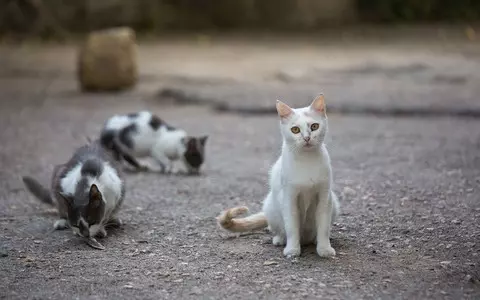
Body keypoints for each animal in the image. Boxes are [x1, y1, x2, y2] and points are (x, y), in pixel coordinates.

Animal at [216, 94, 340, 258]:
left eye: (314, 126)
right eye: (295, 130)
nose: (307, 138)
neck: (307, 160)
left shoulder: (324, 197)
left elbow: (323, 227)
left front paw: (325, 249)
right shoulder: (289, 198)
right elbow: (292, 226)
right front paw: (292, 250)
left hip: (334, 203)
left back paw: (313, 240)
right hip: (271, 206)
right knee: (279, 229)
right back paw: (280, 240)